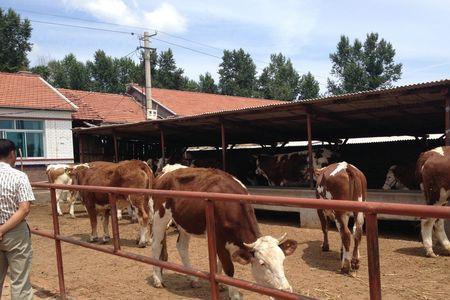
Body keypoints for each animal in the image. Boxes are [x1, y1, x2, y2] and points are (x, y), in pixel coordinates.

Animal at [152, 165, 298, 298]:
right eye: (263, 264)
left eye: (283, 260)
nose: (286, 290)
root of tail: (166, 170)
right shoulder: (219, 240)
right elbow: (229, 267)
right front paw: (234, 294)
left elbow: (218, 263)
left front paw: (221, 284)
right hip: (160, 216)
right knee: (156, 245)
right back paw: (158, 279)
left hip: (185, 223)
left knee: (182, 247)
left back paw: (193, 279)